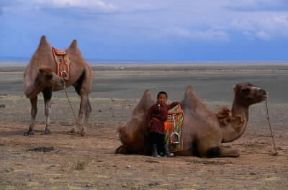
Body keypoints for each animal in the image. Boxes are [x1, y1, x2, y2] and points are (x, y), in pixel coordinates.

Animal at [115, 82, 268, 157]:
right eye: (245, 90)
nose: (264, 92)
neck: (221, 126)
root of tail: (121, 128)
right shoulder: (207, 145)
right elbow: (235, 151)